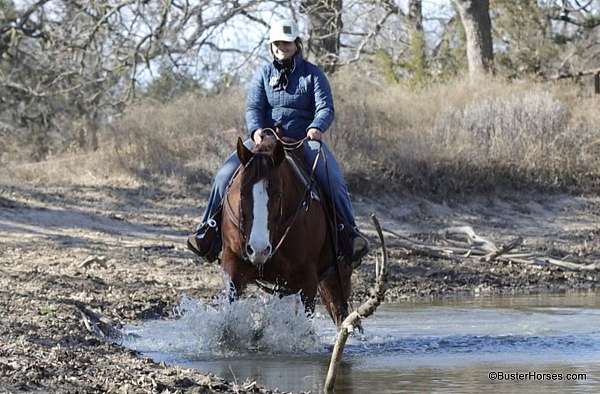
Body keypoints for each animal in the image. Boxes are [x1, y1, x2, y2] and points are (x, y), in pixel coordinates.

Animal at [219, 135, 352, 326]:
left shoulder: (308, 282)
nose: (259, 249)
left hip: (335, 279)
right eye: (242, 193)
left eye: (278, 194)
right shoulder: (233, 267)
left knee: (340, 312)